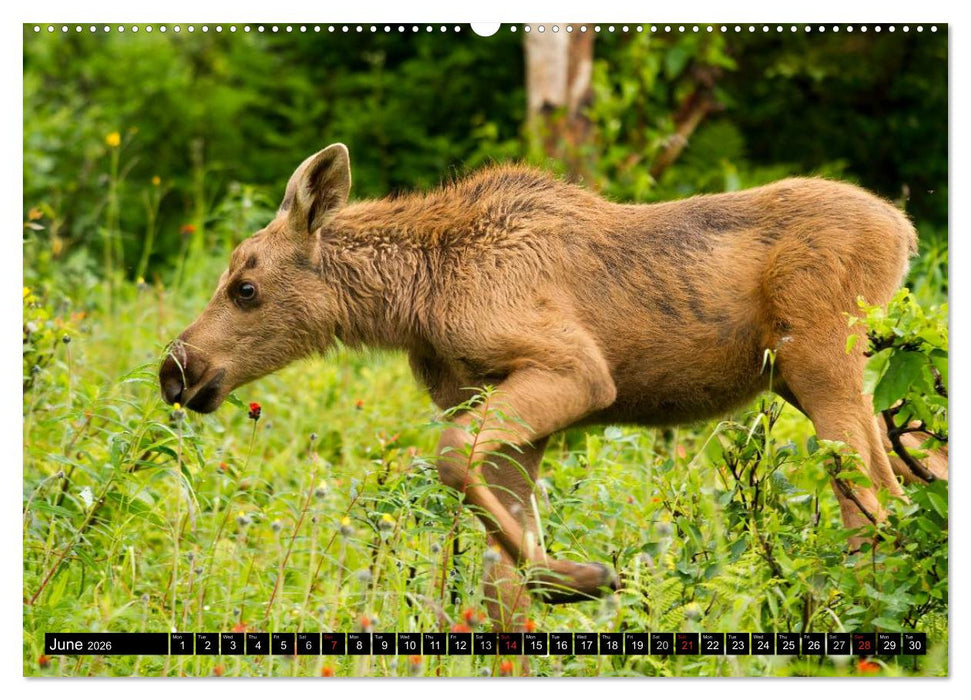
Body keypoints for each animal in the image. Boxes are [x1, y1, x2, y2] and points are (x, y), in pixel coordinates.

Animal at [159, 143, 947, 630]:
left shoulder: (574, 369)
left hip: (821, 357)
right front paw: (554, 585)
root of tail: (904, 229)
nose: (177, 369)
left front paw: (576, 576)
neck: (416, 299)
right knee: (910, 479)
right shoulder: (510, 412)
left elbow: (454, 463)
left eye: (246, 288)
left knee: (876, 504)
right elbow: (494, 576)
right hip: (817, 380)